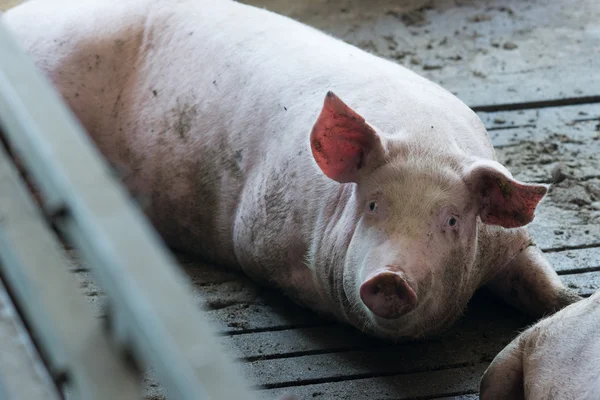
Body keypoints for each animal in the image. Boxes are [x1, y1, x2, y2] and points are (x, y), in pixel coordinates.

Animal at [1, 0, 580, 340]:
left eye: (453, 221)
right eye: (373, 204)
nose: (391, 278)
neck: (425, 140)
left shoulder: (511, 242)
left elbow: (538, 282)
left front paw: (572, 301)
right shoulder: (258, 236)